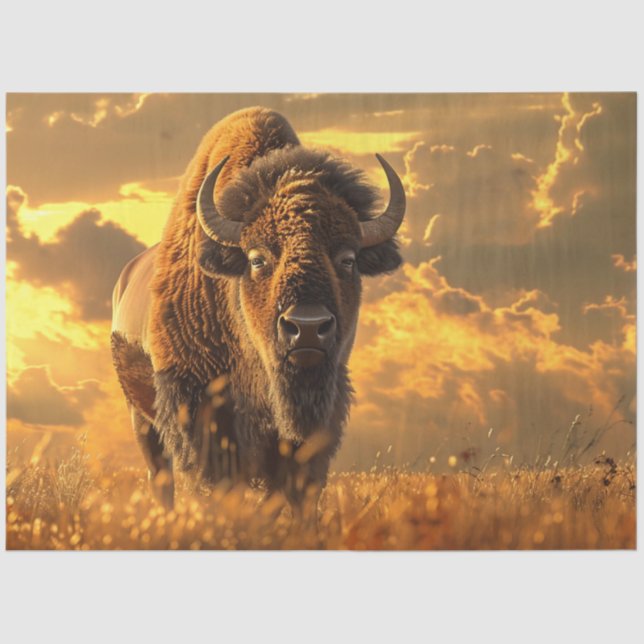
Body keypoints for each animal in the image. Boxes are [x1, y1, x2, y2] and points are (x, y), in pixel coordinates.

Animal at [111, 106, 406, 509]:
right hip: (139, 415)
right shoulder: (197, 405)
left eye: (348, 259)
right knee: (161, 477)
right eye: (256, 259)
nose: (307, 327)